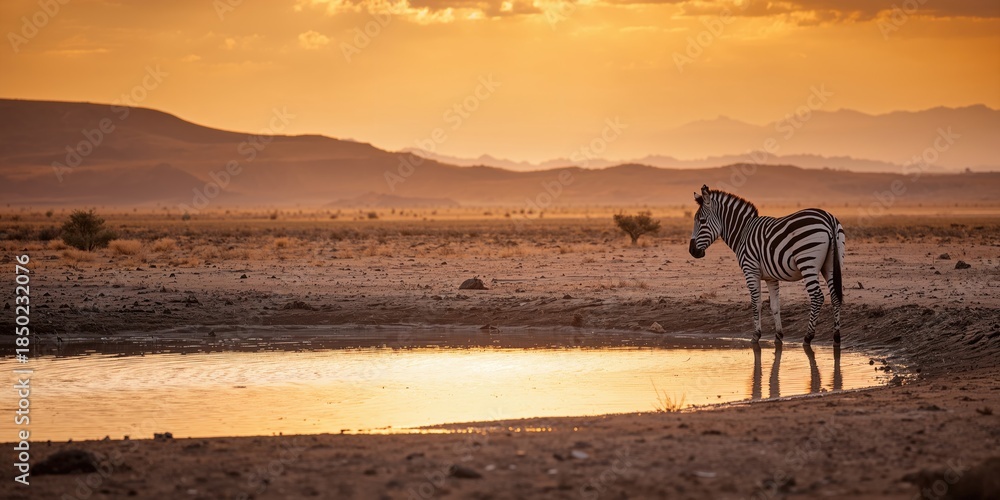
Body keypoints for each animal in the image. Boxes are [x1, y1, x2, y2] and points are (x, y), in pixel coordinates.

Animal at [689, 185, 846, 345]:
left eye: (702, 221)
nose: (692, 251)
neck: (742, 232)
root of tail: (828, 218)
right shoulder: (771, 277)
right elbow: (775, 305)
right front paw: (778, 336)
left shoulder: (750, 270)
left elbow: (756, 303)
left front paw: (756, 335)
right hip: (830, 265)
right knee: (835, 296)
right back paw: (836, 336)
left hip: (807, 262)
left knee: (817, 297)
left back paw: (808, 337)